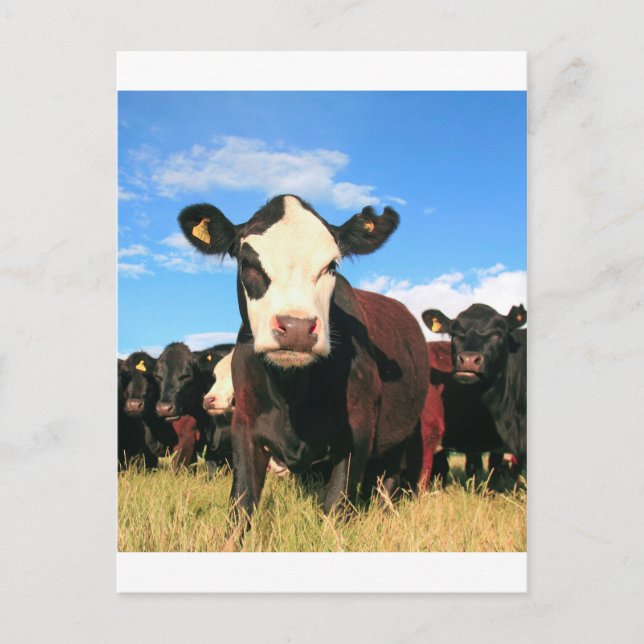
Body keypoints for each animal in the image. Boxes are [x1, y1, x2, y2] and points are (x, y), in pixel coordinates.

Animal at [178, 194, 430, 528]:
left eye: (331, 265)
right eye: (248, 263)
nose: (296, 327)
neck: (291, 392)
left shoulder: (358, 430)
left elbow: (335, 507)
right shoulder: (244, 426)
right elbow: (241, 505)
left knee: (389, 479)